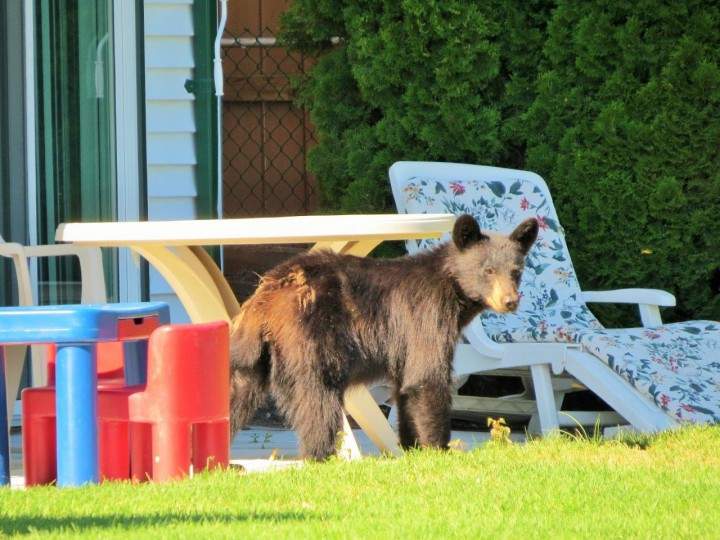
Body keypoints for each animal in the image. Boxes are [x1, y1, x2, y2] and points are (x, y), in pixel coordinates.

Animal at [229, 214, 539, 460]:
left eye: (516, 271)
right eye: (488, 270)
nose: (510, 301)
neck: (451, 286)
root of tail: (267, 291)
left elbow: (406, 386)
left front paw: (412, 447)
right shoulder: (426, 314)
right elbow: (427, 376)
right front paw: (439, 449)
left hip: (254, 351)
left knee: (237, 391)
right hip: (309, 340)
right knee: (318, 402)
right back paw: (318, 456)